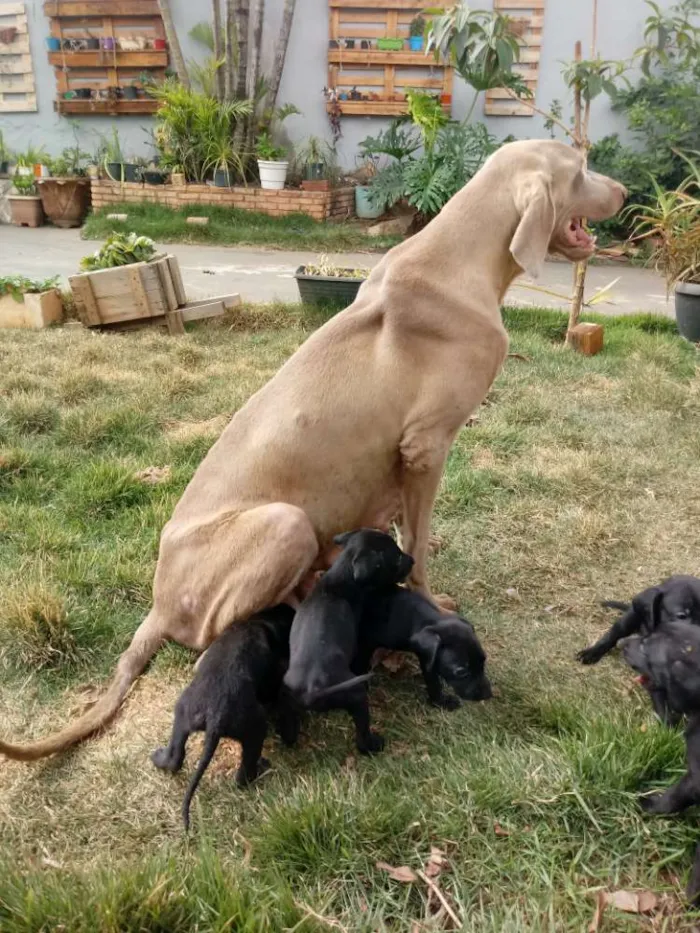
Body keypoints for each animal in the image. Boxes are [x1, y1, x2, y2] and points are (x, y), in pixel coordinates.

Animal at [151, 604, 298, 832]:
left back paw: (159, 758)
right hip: (256, 728)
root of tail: (215, 716)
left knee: (175, 756)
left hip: (182, 714)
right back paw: (261, 769)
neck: (262, 622)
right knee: (242, 776)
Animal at [284, 528, 416, 752]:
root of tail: (312, 690)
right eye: (397, 557)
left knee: (288, 727)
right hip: (356, 697)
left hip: (289, 703)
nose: (413, 560)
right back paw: (373, 745)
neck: (340, 578)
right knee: (361, 735)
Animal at [356, 588, 492, 708]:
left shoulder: (428, 657)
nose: (488, 695)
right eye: (461, 671)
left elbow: (433, 681)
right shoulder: (365, 643)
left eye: (483, 662)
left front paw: (440, 702)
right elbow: (361, 665)